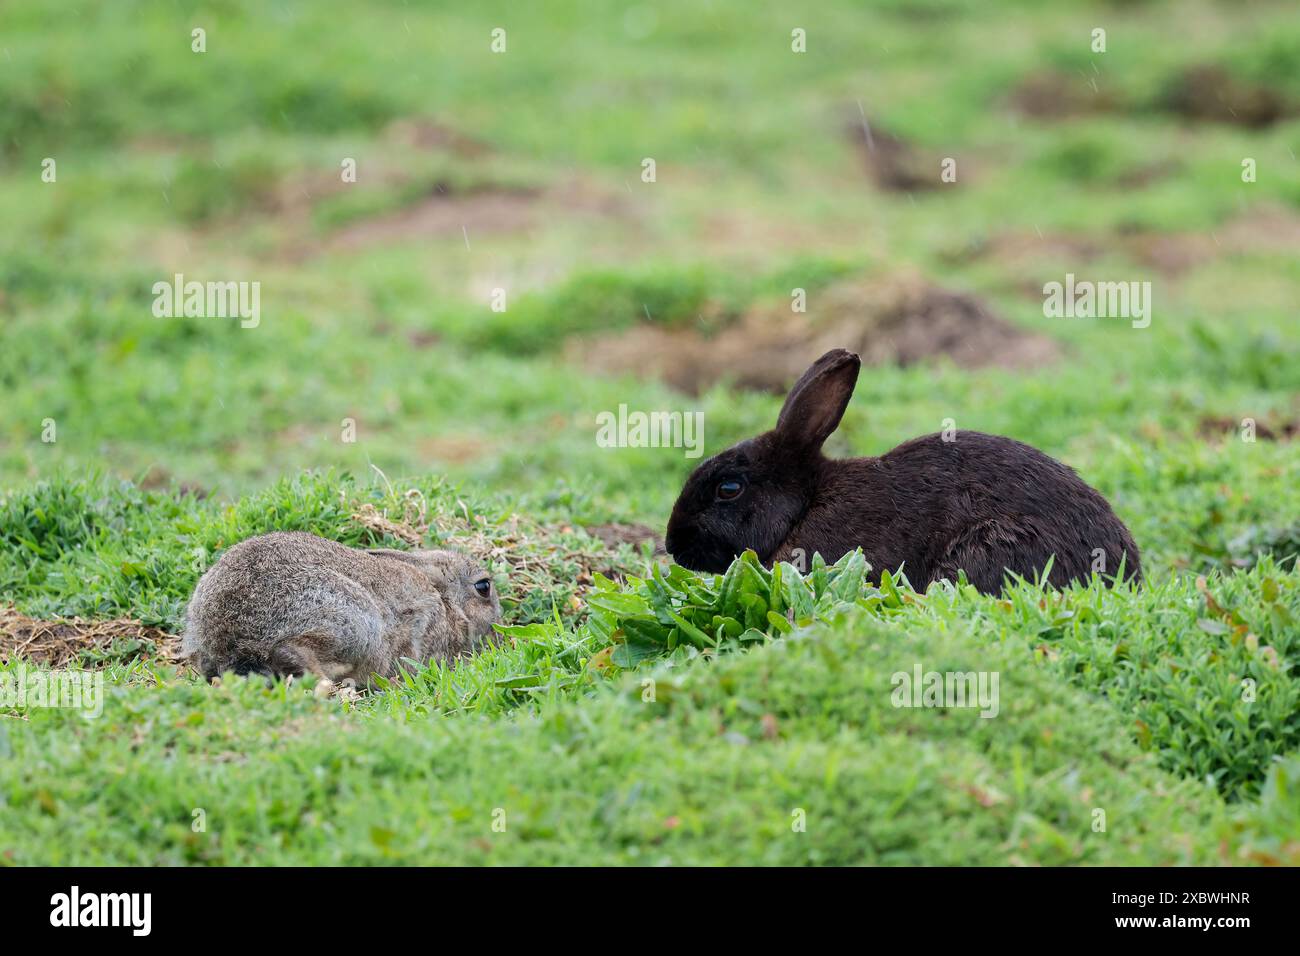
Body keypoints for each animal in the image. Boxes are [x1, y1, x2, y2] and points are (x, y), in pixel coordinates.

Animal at [183, 531, 501, 684]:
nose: (498, 635)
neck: (445, 601)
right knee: (292, 651)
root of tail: (229, 635)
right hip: (353, 622)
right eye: (483, 587)